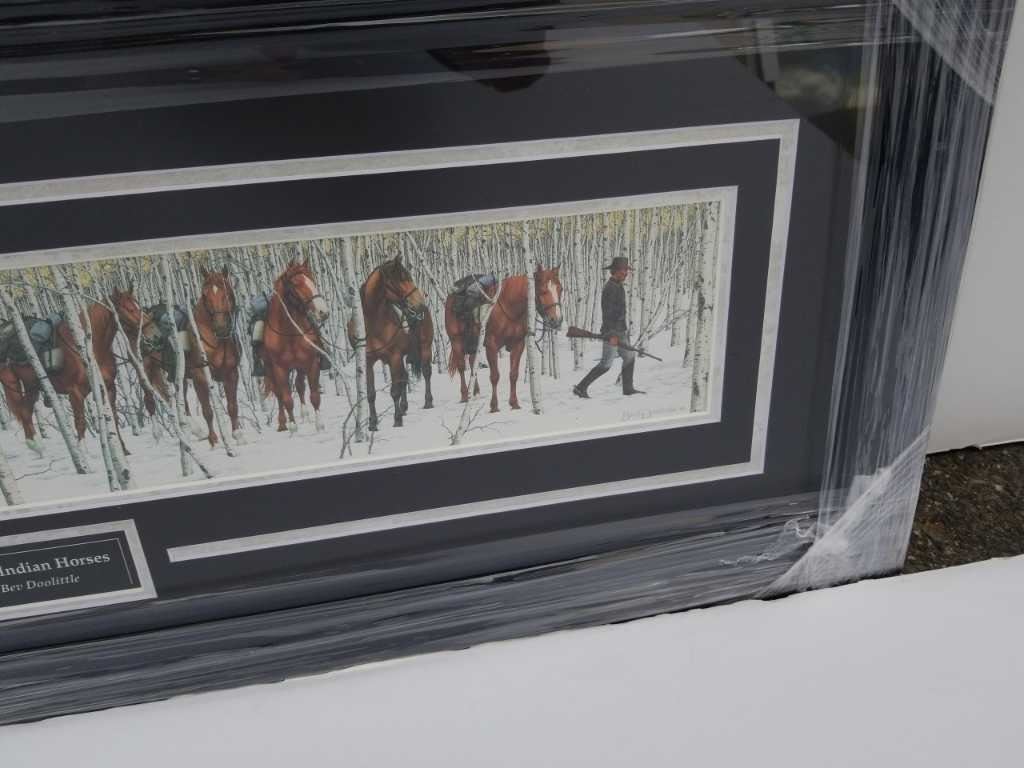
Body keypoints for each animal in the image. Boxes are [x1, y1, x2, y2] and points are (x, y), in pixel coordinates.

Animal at [0, 287, 152, 457]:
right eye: (130, 309)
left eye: (139, 306)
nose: (151, 333)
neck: (89, 349)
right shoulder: (76, 393)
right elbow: (80, 423)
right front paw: (83, 453)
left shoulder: (109, 388)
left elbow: (113, 418)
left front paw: (123, 449)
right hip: (13, 382)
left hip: (32, 386)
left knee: (25, 411)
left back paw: (36, 446)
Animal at [260, 260, 329, 433]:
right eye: (296, 283)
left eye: (312, 279)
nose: (323, 312)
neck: (289, 334)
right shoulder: (279, 369)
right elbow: (286, 399)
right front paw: (292, 426)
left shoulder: (311, 364)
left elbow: (314, 395)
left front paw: (319, 425)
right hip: (271, 370)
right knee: (279, 394)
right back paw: (282, 423)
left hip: (299, 367)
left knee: (299, 386)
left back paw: (305, 414)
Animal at [350, 256, 433, 431]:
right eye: (399, 281)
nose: (420, 304)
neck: (372, 323)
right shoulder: (368, 361)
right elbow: (371, 393)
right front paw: (373, 423)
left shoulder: (395, 356)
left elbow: (395, 390)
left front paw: (397, 419)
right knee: (404, 378)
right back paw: (404, 407)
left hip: (425, 347)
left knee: (426, 372)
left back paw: (428, 401)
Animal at [484, 266, 563, 412]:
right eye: (542, 290)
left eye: (561, 289)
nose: (557, 320)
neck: (509, 306)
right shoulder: (491, 345)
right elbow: (494, 376)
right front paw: (494, 406)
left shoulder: (518, 345)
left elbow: (513, 374)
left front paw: (514, 403)